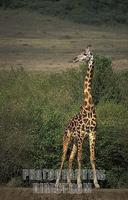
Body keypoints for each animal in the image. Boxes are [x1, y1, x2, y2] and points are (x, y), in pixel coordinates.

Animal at [55, 45, 100, 191]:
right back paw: (57, 183)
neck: (88, 106)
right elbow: (80, 158)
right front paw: (80, 183)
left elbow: (92, 158)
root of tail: (66, 126)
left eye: (85, 54)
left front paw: (96, 183)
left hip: (74, 141)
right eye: (81, 53)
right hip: (67, 138)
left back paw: (69, 183)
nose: (75, 59)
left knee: (70, 158)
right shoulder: (81, 135)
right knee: (63, 157)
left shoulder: (92, 133)